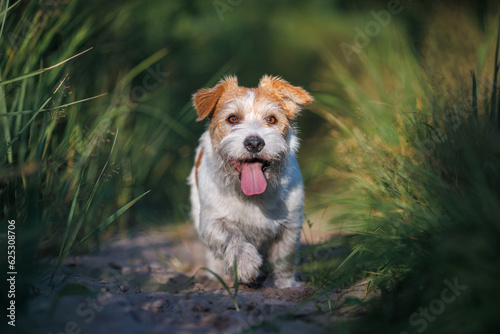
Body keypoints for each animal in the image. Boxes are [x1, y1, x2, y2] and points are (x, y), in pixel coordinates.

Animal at [188, 74, 312, 288]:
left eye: (271, 119)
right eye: (232, 118)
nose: (254, 143)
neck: (252, 196)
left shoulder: (290, 223)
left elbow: (284, 257)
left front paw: (285, 286)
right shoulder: (212, 220)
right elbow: (232, 237)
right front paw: (245, 265)